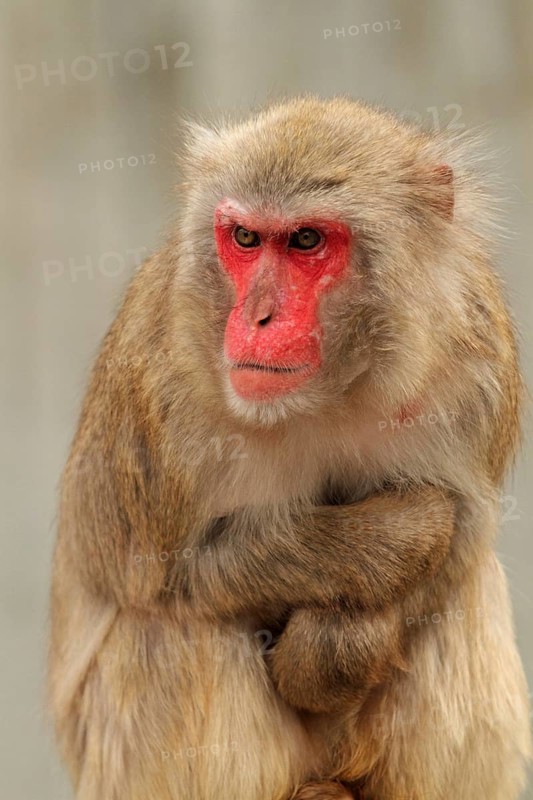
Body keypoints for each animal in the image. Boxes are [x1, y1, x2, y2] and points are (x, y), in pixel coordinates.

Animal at [48, 96, 531, 800]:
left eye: (306, 240)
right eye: (246, 238)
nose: (257, 318)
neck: (328, 392)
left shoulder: (476, 366)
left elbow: (459, 547)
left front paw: (334, 649)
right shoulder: (160, 392)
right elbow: (164, 577)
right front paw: (387, 543)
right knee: (181, 631)